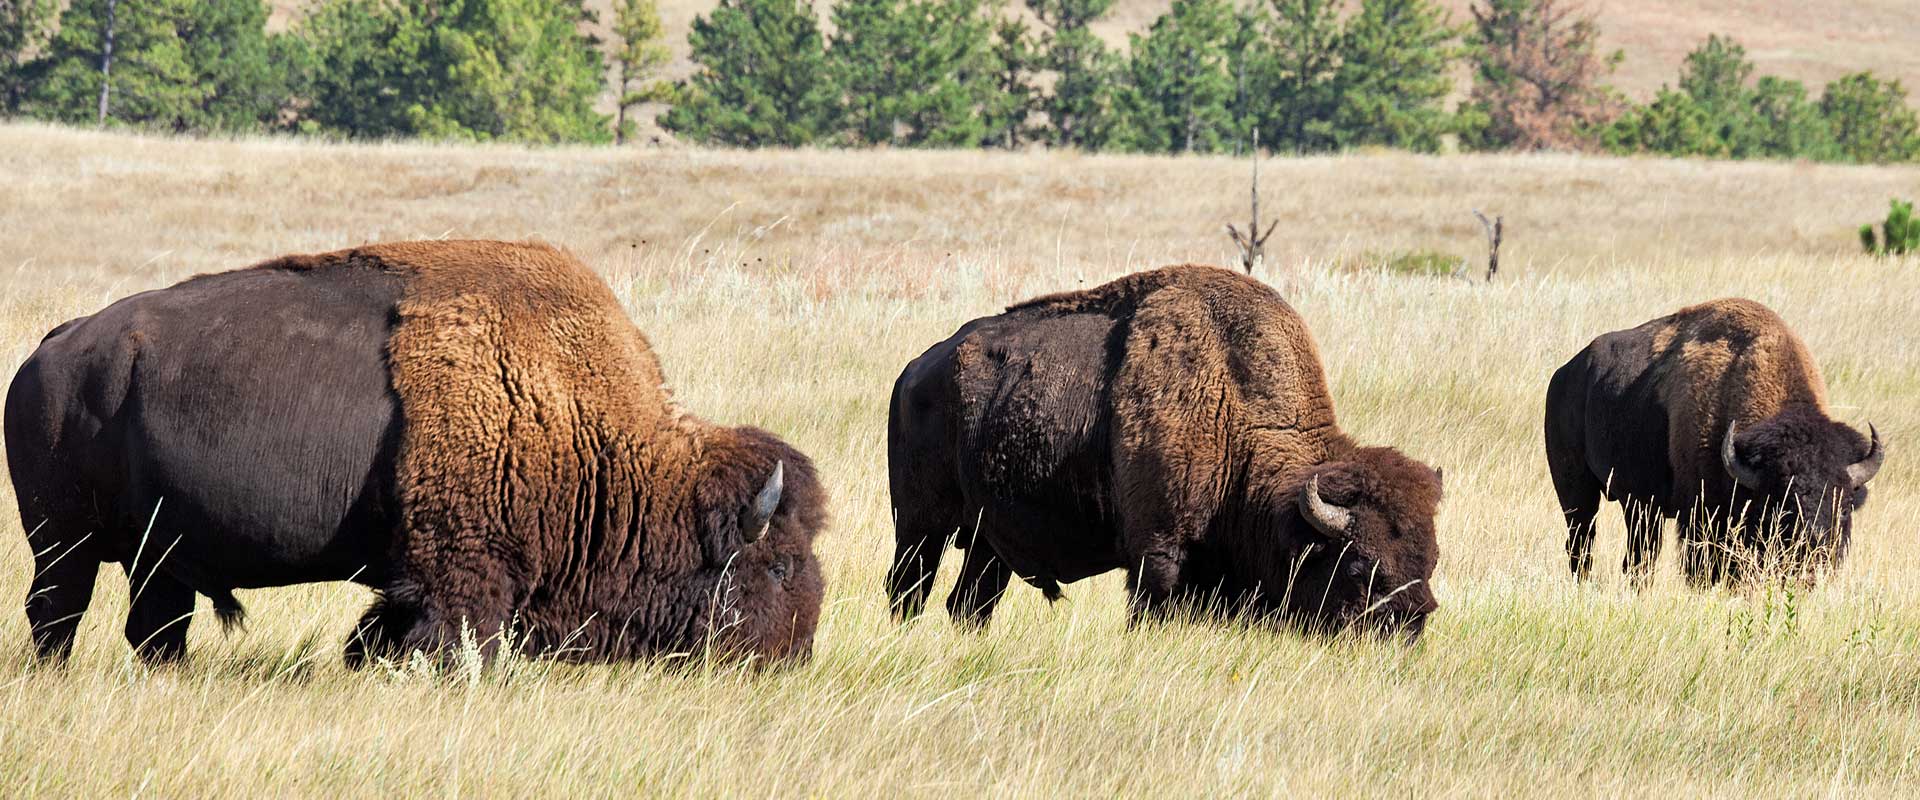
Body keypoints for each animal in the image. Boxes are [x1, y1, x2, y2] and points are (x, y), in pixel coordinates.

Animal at [11, 239, 829, 663]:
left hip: (158, 554)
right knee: (57, 613)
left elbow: (378, 632)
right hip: (63, 542)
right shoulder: (461, 574)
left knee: (155, 626)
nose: (792, 657)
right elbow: (451, 638)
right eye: (779, 566)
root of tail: (53, 348)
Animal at [883, 264, 1443, 640]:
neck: (1233, 407)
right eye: (1360, 568)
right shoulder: (1158, 552)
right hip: (920, 527)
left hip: (988, 541)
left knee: (968, 602)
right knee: (908, 588)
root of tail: (914, 370)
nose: (1411, 627)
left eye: (1431, 560)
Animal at [1536, 295, 1881, 583]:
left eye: (1845, 508)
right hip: (1576, 490)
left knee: (1637, 556)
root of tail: (1564, 374)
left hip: (1640, 506)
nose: (1815, 555)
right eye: (1783, 508)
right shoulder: (1701, 519)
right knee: (1582, 543)